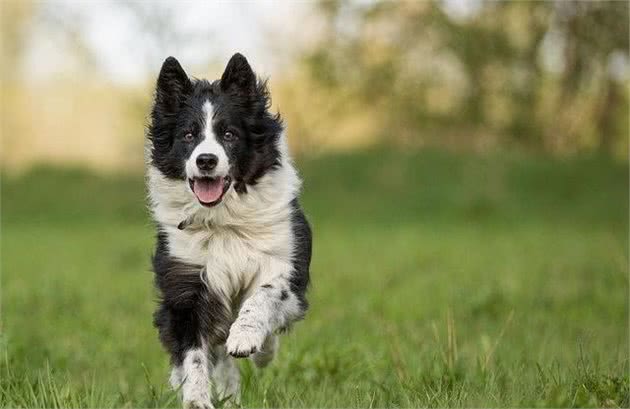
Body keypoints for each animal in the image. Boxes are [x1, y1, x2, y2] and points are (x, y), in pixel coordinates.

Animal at [146, 52, 314, 406]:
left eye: (229, 135)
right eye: (188, 135)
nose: (206, 161)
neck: (223, 220)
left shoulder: (286, 264)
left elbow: (264, 295)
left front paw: (247, 337)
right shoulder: (186, 283)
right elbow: (193, 354)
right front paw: (196, 399)